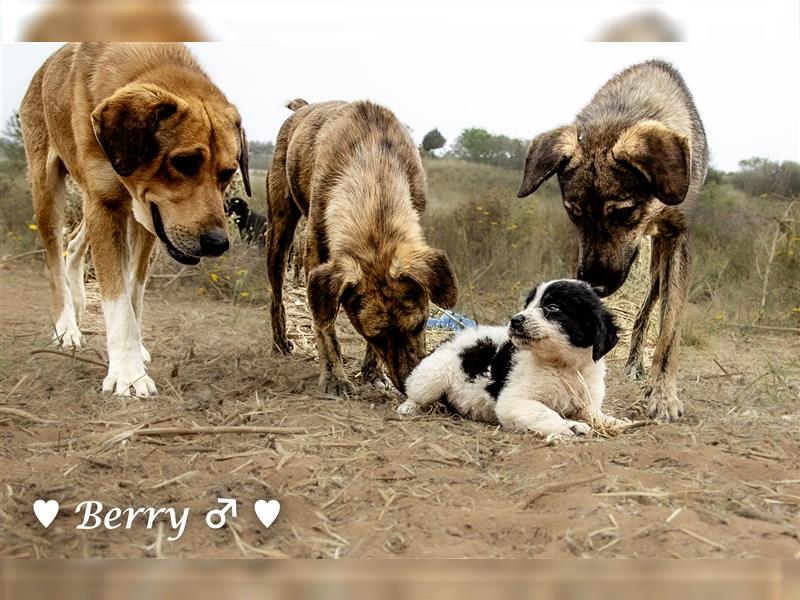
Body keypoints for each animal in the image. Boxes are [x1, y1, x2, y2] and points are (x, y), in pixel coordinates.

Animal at [21, 44, 250, 396]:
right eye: (183, 162)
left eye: (227, 173)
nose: (216, 243)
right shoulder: (106, 205)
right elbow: (117, 298)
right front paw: (128, 374)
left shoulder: (147, 221)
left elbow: (133, 291)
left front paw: (134, 350)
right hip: (47, 189)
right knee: (55, 259)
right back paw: (66, 326)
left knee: (74, 243)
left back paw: (79, 300)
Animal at [268, 99, 456, 394]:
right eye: (375, 336)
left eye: (420, 325)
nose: (411, 387)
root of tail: (304, 107)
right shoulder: (316, 261)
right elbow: (324, 327)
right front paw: (334, 377)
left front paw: (372, 372)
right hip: (279, 234)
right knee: (276, 298)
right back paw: (280, 342)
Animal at [400, 278, 624, 438]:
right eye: (528, 304)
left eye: (553, 307)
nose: (515, 320)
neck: (565, 365)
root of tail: (449, 338)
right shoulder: (514, 401)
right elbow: (545, 413)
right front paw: (571, 426)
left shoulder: (586, 401)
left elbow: (593, 413)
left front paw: (614, 421)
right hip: (434, 375)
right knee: (414, 392)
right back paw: (408, 408)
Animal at [516, 59, 708, 418]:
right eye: (574, 214)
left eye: (623, 212)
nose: (597, 285)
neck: (624, 113)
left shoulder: (678, 236)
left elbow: (669, 331)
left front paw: (663, 394)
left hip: (658, 267)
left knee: (648, 309)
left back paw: (636, 363)